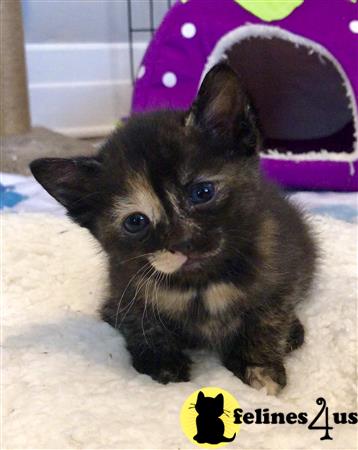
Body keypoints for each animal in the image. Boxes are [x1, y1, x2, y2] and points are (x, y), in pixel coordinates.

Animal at [30, 62, 316, 394]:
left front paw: (260, 368)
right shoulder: (123, 289)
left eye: (202, 192)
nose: (183, 242)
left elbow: (268, 319)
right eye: (136, 222)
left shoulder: (281, 273)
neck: (200, 284)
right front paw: (163, 366)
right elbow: (141, 324)